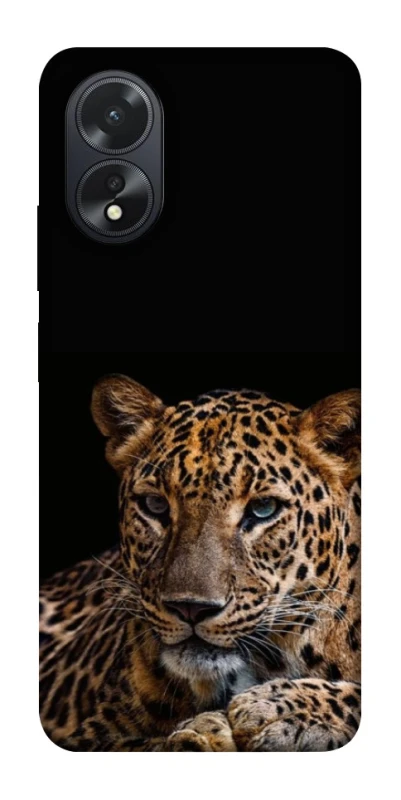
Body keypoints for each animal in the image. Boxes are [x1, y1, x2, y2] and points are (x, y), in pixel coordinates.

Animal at [40, 374, 361, 751]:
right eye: (155, 505)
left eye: (263, 509)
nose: (191, 608)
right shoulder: (93, 735)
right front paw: (209, 730)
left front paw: (274, 709)